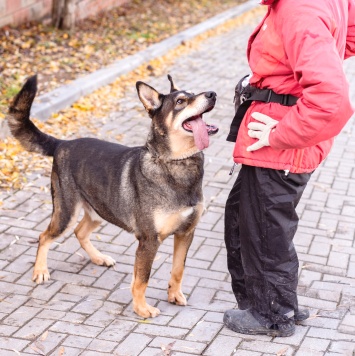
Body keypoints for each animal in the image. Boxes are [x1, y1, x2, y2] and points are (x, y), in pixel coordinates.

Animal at [6, 74, 218, 318]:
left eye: (193, 93)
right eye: (181, 101)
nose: (212, 94)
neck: (176, 162)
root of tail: (63, 143)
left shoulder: (186, 233)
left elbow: (178, 269)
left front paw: (173, 295)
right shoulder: (149, 241)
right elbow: (142, 280)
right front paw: (141, 308)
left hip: (99, 210)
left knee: (80, 232)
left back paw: (99, 258)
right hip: (66, 213)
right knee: (44, 237)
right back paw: (40, 270)